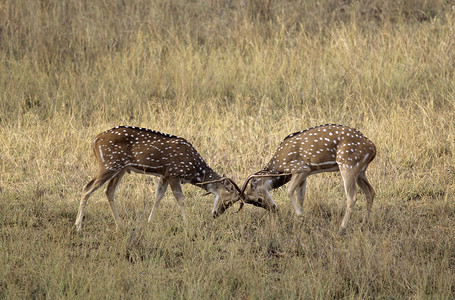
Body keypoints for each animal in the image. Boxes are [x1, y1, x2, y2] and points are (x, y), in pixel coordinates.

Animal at [74, 125, 249, 231]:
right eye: (230, 198)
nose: (216, 214)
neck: (193, 169)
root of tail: (94, 141)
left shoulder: (164, 175)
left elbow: (158, 196)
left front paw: (149, 222)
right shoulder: (173, 173)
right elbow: (181, 199)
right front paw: (188, 224)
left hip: (121, 169)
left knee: (109, 191)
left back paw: (121, 225)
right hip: (109, 165)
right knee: (87, 187)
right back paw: (78, 226)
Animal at [240, 123, 376, 233]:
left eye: (258, 200)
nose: (274, 209)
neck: (280, 165)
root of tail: (373, 148)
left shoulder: (301, 169)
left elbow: (289, 191)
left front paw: (300, 215)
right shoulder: (305, 175)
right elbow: (301, 197)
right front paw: (301, 220)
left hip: (349, 166)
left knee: (352, 197)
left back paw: (341, 229)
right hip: (360, 172)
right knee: (370, 192)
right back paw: (364, 224)